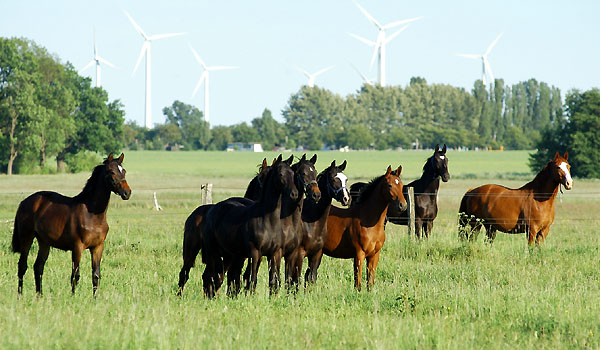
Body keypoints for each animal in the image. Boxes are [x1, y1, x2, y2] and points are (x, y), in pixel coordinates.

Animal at [11, 153, 131, 296]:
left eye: (124, 171)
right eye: (112, 172)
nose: (127, 193)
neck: (92, 215)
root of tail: (24, 202)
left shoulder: (97, 247)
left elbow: (96, 275)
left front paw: (95, 298)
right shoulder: (77, 247)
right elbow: (75, 275)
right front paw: (73, 297)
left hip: (44, 242)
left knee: (38, 267)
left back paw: (39, 295)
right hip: (27, 238)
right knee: (22, 266)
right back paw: (20, 295)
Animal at [200, 156, 296, 298]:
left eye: (293, 174)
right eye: (280, 174)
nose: (294, 194)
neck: (268, 220)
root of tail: (211, 210)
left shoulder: (275, 253)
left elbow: (274, 281)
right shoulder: (255, 253)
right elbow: (252, 278)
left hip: (228, 254)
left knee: (219, 276)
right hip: (214, 252)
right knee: (210, 275)